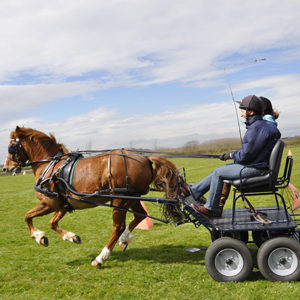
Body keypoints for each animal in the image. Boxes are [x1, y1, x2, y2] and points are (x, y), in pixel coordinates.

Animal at [2, 125, 182, 266]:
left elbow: (27, 216)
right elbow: (52, 223)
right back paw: (124, 240)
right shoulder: (63, 205)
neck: (50, 166)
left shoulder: (48, 203)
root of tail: (145, 158)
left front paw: (38, 236)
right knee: (140, 215)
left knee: (118, 227)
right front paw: (71, 237)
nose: (6, 168)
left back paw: (101, 257)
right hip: (132, 199)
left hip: (119, 199)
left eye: (11, 147)